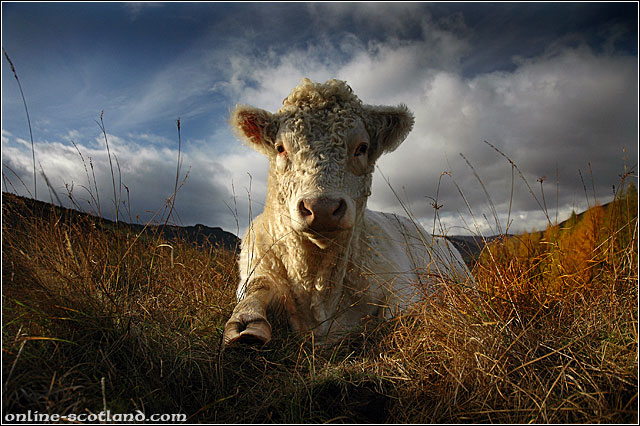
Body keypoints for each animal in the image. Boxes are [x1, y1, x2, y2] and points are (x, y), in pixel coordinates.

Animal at [223, 78, 472, 346]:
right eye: (280, 148)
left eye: (362, 147)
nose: (321, 207)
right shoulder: (255, 267)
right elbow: (255, 289)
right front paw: (246, 324)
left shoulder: (402, 283)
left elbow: (401, 312)